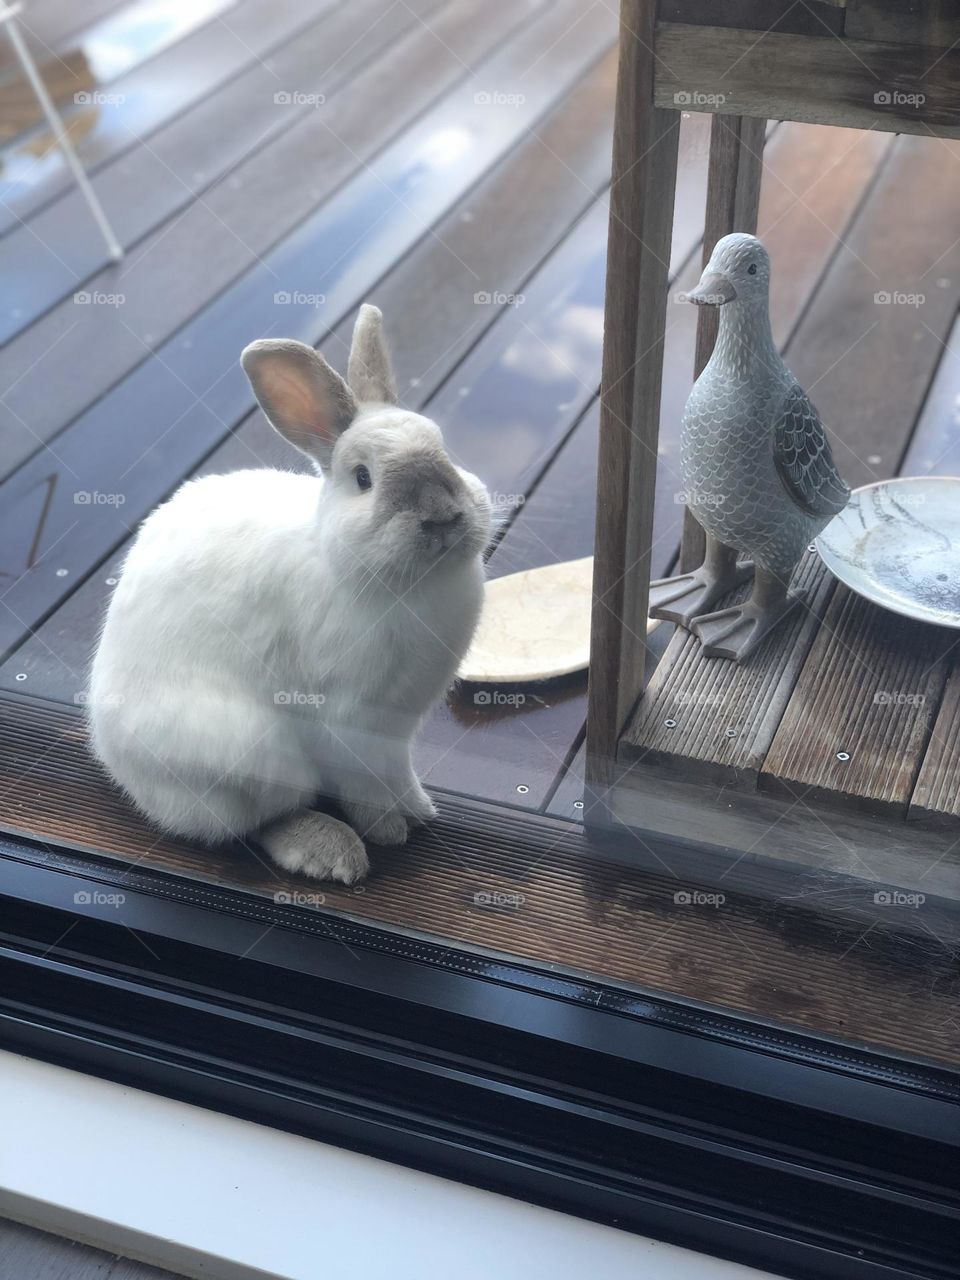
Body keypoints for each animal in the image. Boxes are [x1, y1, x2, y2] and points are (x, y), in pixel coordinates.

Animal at [88, 305, 492, 884]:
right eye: (363, 478)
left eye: (445, 449)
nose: (441, 516)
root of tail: (115, 763)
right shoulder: (350, 719)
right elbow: (366, 785)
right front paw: (389, 830)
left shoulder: (398, 728)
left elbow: (399, 774)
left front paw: (419, 808)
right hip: (253, 755)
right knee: (251, 823)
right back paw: (329, 850)